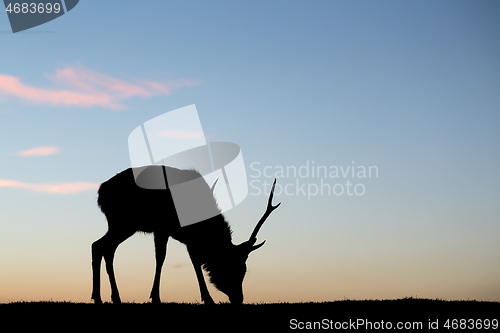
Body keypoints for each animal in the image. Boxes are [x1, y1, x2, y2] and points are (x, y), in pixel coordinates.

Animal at [92, 165, 280, 304]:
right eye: (232, 266)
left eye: (244, 270)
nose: (239, 298)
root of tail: (101, 192)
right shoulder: (164, 229)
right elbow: (161, 258)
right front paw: (156, 297)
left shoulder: (187, 239)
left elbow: (194, 261)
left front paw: (207, 298)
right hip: (123, 223)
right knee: (100, 246)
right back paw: (105, 297)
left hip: (120, 225)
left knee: (102, 247)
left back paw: (107, 297)